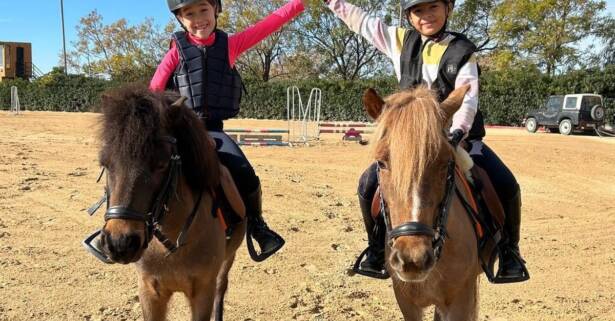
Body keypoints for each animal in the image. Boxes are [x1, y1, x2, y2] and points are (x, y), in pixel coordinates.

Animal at [92, 84, 244, 320]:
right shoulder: (149, 291)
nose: (120, 243)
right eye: (105, 164)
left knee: (222, 286)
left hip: (228, 260)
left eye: (162, 164)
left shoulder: (203, 291)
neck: (172, 243)